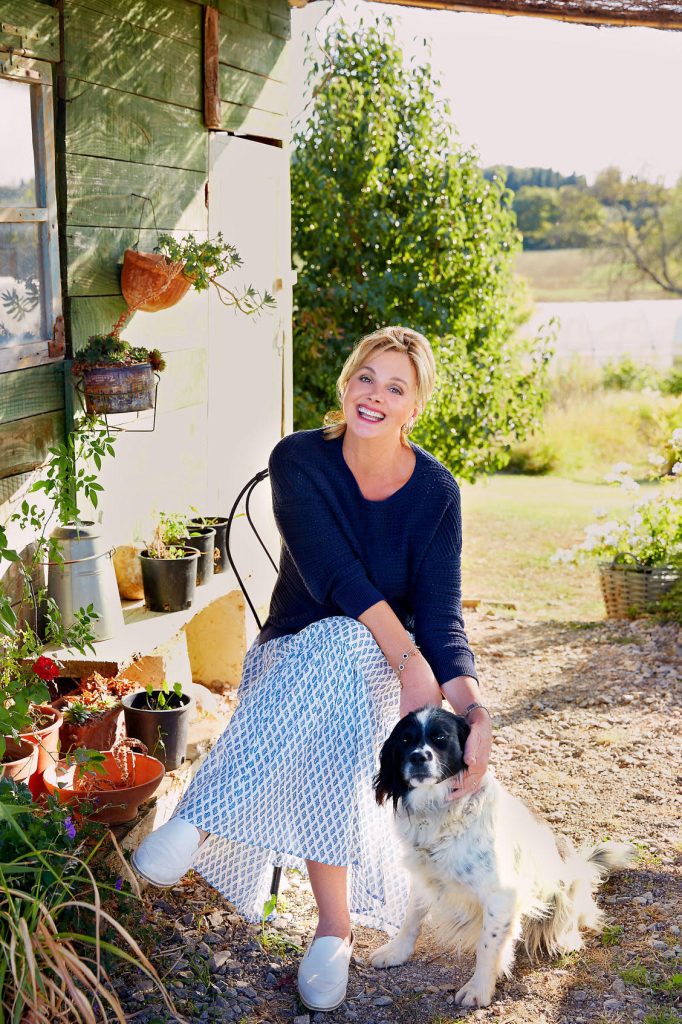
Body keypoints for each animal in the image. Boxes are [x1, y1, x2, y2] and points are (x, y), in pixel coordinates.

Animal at [372, 708, 630, 1003]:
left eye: (440, 737)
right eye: (405, 740)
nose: (418, 757)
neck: (438, 811)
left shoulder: (501, 894)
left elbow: (487, 945)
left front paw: (479, 989)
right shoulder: (424, 876)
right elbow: (411, 919)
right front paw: (396, 952)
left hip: (565, 878)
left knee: (570, 914)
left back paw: (567, 939)